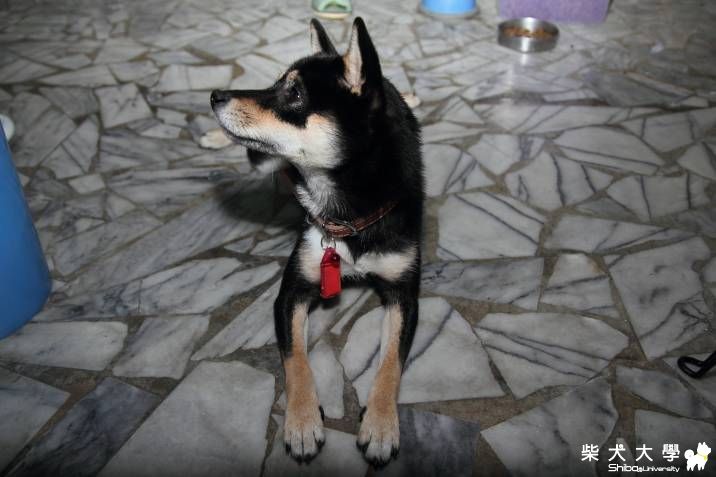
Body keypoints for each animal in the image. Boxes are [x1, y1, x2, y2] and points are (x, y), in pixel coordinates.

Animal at [210, 17, 424, 466]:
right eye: (276, 83)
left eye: (293, 94)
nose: (216, 95)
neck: (349, 213)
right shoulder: (291, 293)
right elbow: (296, 361)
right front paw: (303, 422)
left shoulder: (404, 295)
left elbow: (391, 363)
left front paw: (381, 424)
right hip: (262, 157)